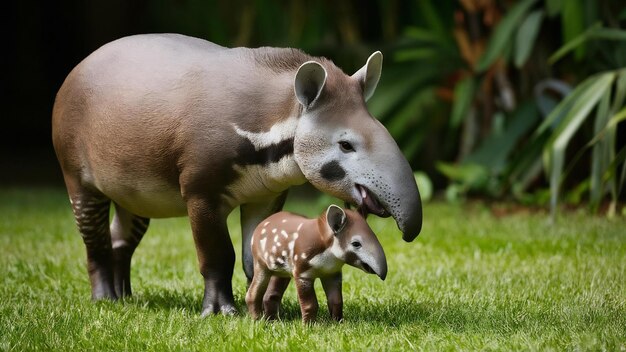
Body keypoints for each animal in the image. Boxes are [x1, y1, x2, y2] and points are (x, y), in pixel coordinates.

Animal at [245, 204, 386, 322]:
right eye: (356, 243)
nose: (383, 274)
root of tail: (260, 225)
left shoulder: (332, 274)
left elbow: (336, 301)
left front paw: (337, 323)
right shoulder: (302, 273)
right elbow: (310, 304)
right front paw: (308, 326)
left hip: (281, 271)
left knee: (271, 295)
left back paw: (273, 321)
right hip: (260, 264)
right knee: (252, 293)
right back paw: (258, 320)